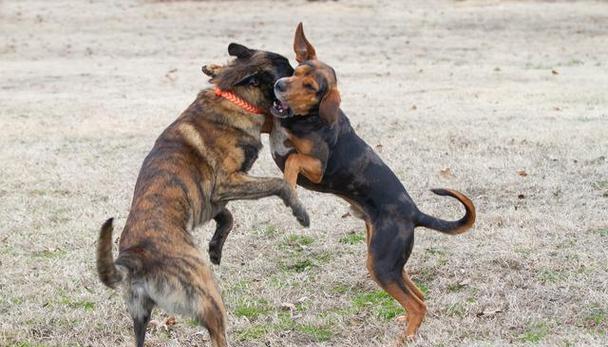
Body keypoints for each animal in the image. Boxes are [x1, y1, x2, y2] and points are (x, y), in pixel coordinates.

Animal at [97, 43, 306, 347]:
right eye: (287, 69)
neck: (235, 94)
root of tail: (134, 260)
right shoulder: (227, 183)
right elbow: (280, 184)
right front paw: (300, 211)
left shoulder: (212, 201)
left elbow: (227, 218)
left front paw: (215, 248)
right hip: (208, 296)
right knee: (218, 334)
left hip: (140, 317)